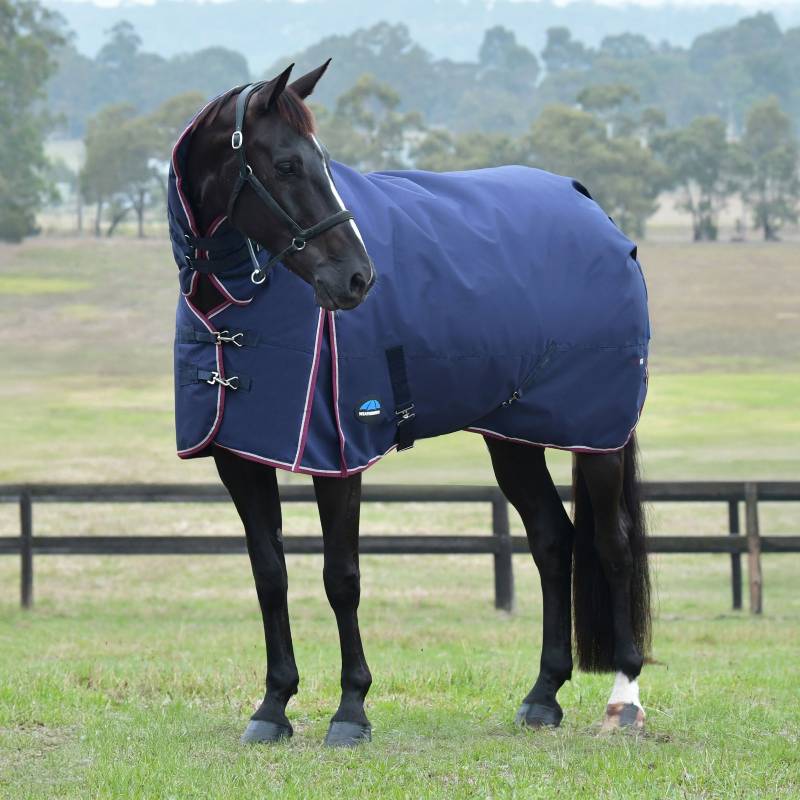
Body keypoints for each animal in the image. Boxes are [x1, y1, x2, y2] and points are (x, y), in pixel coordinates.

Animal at [168, 61, 652, 747]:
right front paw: (273, 706)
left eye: (321, 161)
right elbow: (270, 575)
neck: (237, 306)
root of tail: (596, 213)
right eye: (286, 164)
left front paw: (351, 711)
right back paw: (542, 697)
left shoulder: (339, 456)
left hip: (598, 436)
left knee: (612, 545)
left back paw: (624, 699)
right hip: (514, 438)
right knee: (553, 541)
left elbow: (341, 578)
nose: (357, 279)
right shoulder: (239, 457)